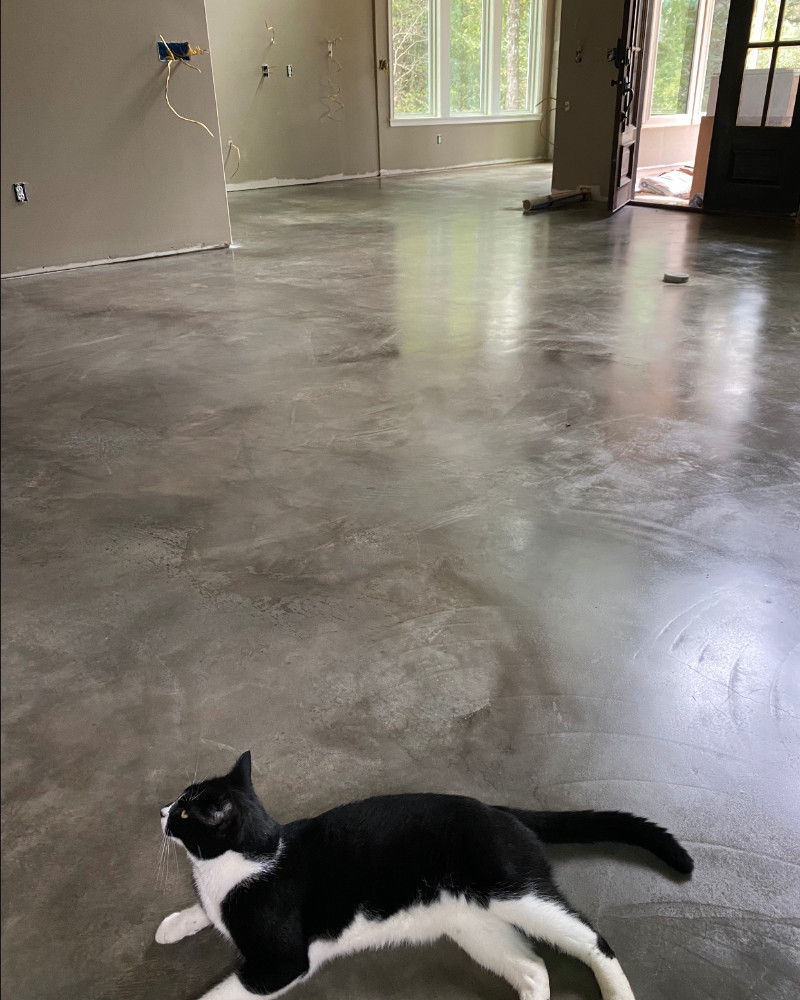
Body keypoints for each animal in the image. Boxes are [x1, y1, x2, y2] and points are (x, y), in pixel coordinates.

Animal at [158, 752, 692, 996]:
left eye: (185, 812)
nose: (160, 810)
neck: (251, 858)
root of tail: (496, 809)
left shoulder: (282, 964)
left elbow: (221, 992)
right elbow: (205, 910)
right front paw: (175, 923)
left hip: (514, 892)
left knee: (592, 940)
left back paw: (617, 992)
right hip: (472, 922)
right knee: (533, 968)